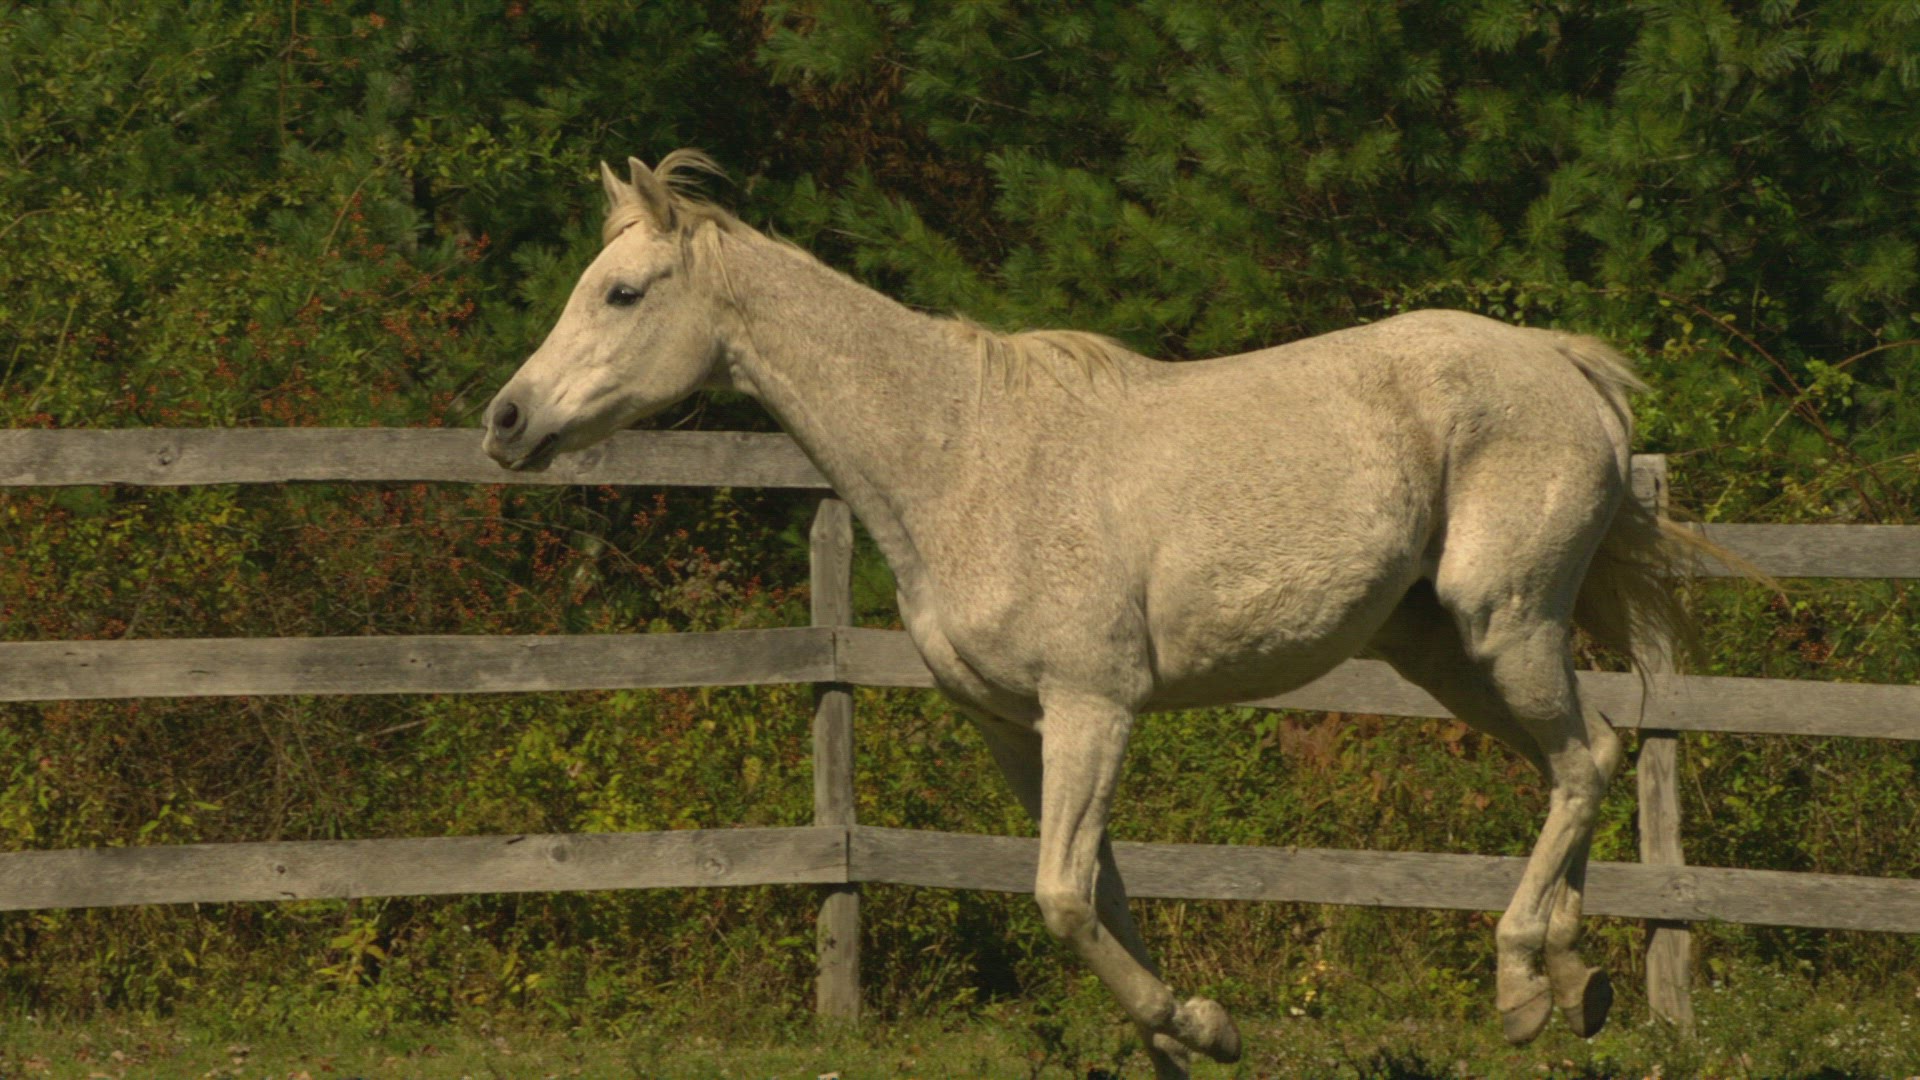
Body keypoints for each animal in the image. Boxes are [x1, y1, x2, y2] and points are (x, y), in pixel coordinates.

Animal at [482, 152, 1696, 1078]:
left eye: (623, 294)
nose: (506, 421)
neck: (960, 457)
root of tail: (1568, 369)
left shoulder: (1093, 707)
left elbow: (1063, 898)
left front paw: (1199, 1023)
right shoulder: (1016, 729)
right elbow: (1101, 897)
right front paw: (1186, 1039)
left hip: (1505, 621)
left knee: (1582, 759)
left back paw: (1522, 981)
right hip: (1437, 648)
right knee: (1580, 757)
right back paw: (1573, 980)